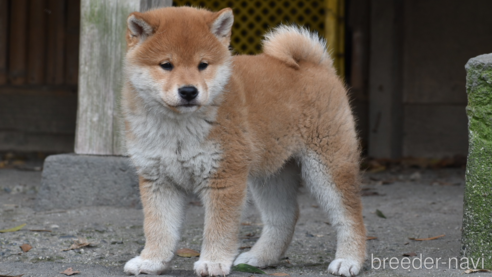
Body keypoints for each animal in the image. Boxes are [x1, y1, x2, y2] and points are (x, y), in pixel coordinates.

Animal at [121, 6, 366, 276]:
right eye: (166, 65)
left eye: (203, 65)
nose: (188, 91)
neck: (177, 127)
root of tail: (315, 64)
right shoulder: (158, 179)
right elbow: (158, 228)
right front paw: (151, 261)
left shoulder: (224, 176)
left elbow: (218, 227)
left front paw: (213, 261)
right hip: (272, 174)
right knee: (284, 217)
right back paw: (260, 257)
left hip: (327, 166)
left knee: (350, 215)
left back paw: (349, 260)